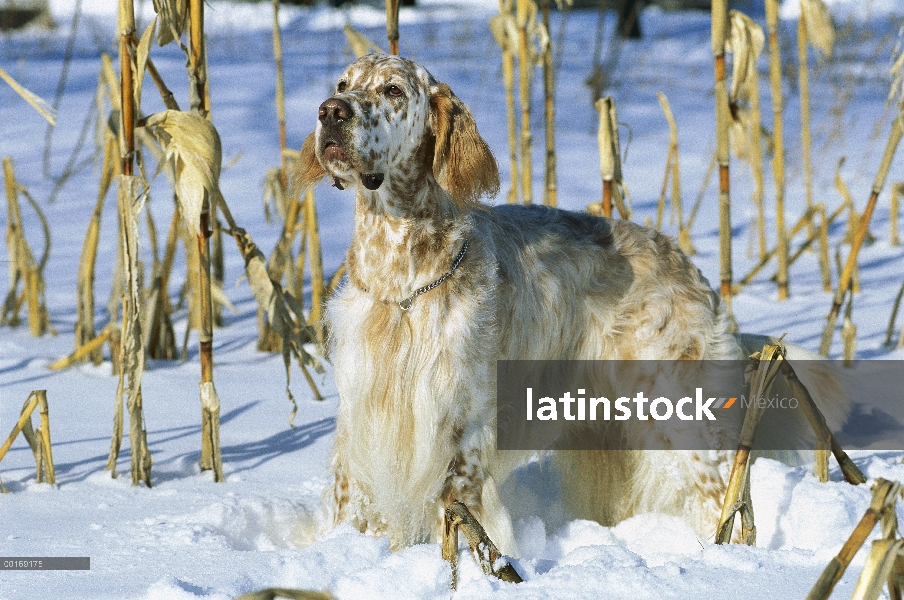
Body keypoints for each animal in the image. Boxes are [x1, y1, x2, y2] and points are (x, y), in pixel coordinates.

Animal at [298, 54, 848, 556]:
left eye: (393, 90)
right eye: (343, 84)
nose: (330, 112)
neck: (401, 287)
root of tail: (688, 266)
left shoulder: (462, 423)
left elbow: (458, 509)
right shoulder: (362, 417)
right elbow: (351, 505)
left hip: (680, 413)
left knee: (723, 500)